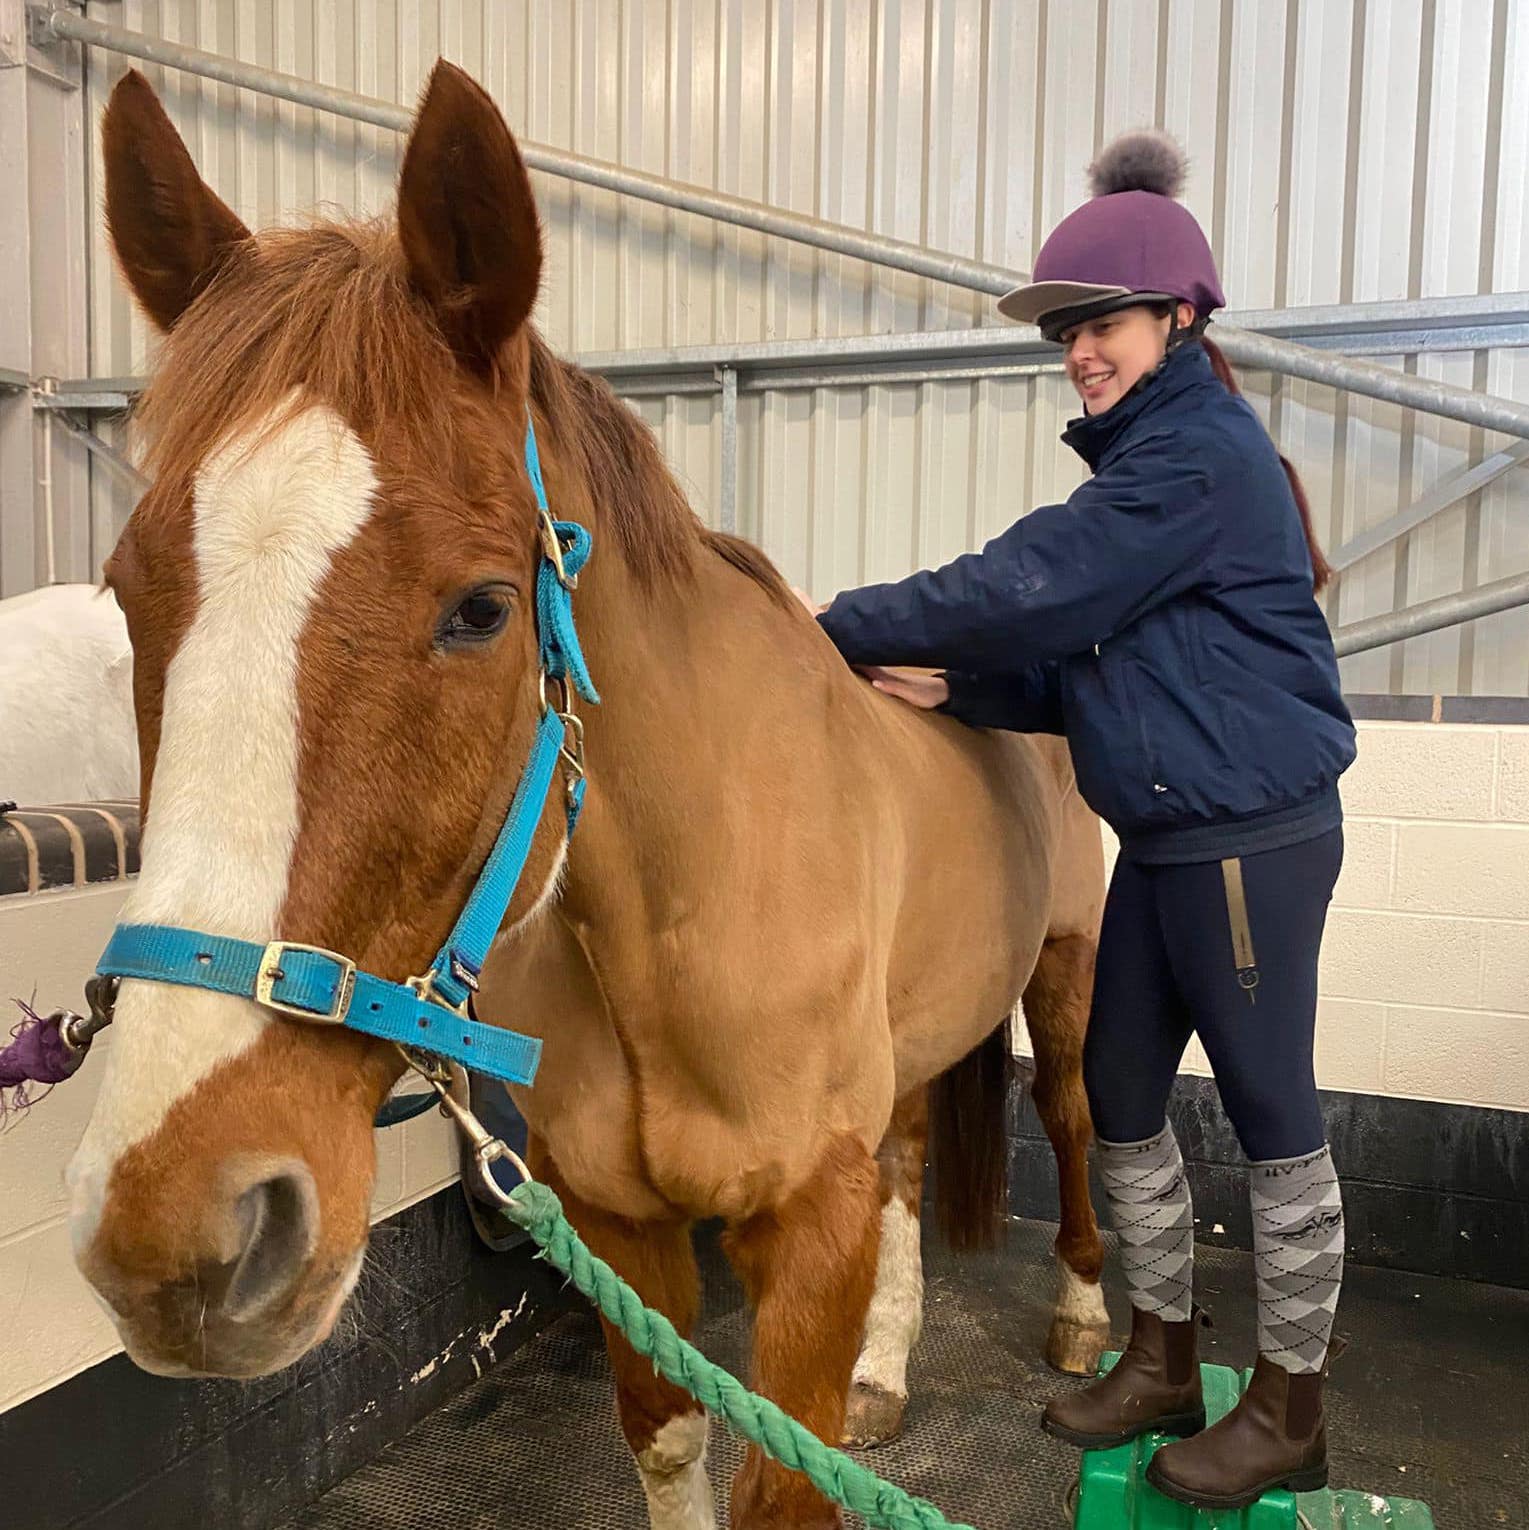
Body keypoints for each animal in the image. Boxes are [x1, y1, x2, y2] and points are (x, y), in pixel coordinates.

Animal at [66, 62, 1108, 1530]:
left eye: (482, 608)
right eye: (123, 592)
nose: (178, 1229)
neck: (681, 899)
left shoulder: (810, 1227)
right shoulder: (619, 1223)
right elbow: (668, 1445)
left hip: (1067, 978)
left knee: (1071, 1124)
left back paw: (1081, 1319)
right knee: (909, 1155)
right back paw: (891, 1368)